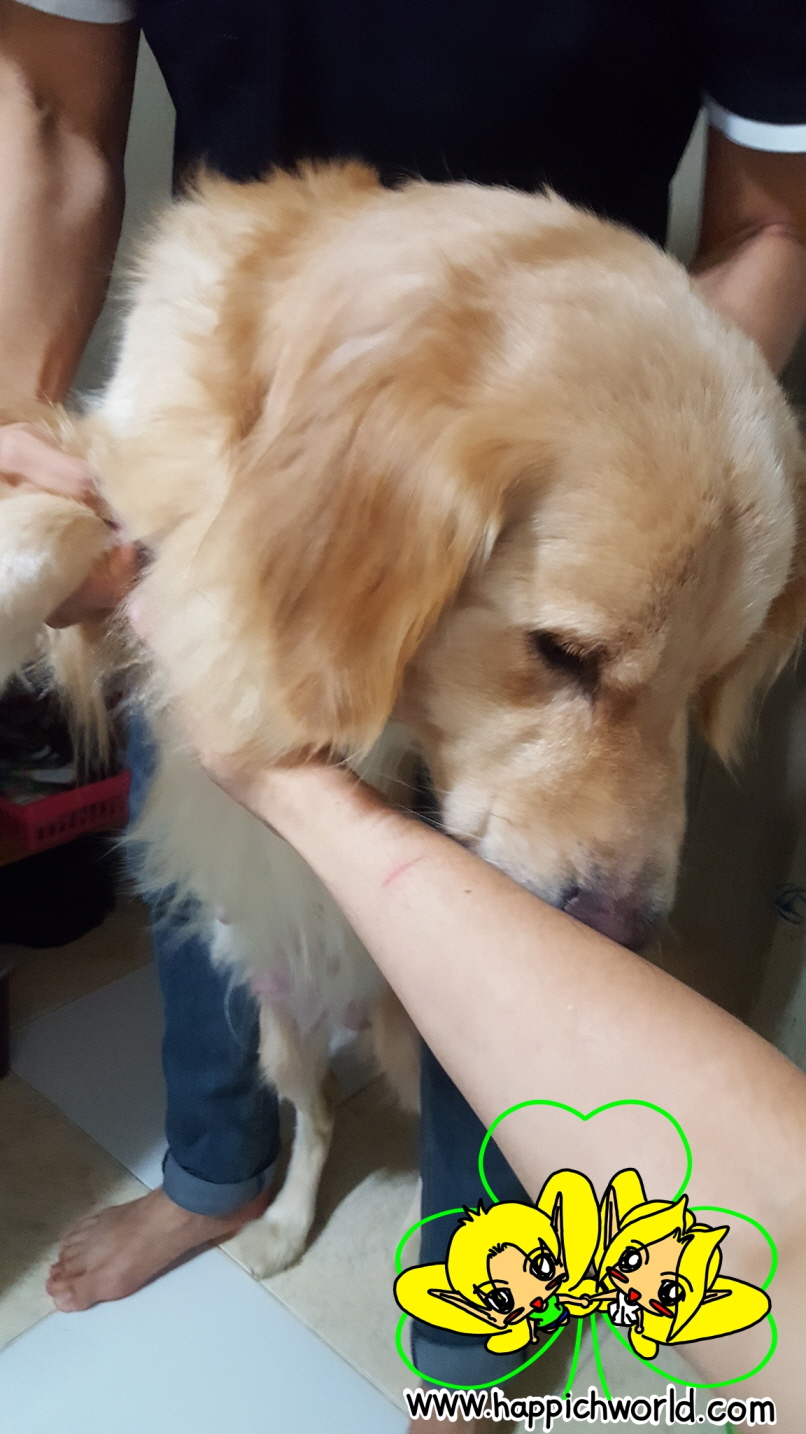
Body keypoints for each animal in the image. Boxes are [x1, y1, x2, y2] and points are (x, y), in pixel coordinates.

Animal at [0, 162, 803, 1275]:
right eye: (562, 653)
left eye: (705, 682)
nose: (628, 933)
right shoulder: (124, 474)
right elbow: (60, 517)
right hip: (277, 1020)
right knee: (316, 1114)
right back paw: (278, 1222)